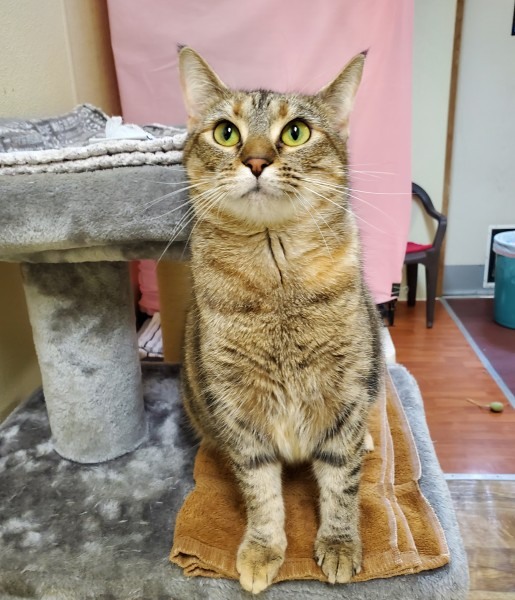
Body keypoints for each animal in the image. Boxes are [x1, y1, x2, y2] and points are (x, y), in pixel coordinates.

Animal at [178, 46, 384, 594]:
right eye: (226, 132)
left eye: (295, 132)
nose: (255, 160)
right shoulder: (239, 410)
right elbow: (261, 492)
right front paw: (262, 550)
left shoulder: (345, 394)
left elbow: (342, 485)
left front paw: (339, 545)